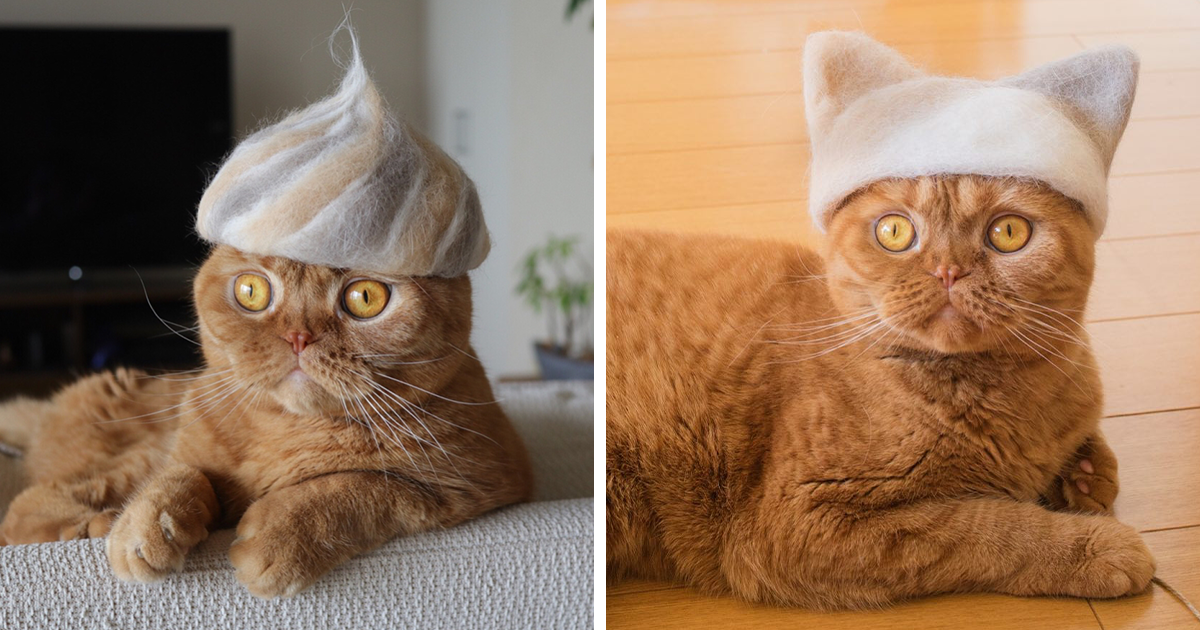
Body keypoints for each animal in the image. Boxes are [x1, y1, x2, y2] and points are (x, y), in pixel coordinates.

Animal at [0, 243, 535, 597]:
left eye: (365, 297)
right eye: (252, 291)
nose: (298, 336)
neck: (287, 431)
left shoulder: (470, 485)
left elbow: (360, 486)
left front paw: (280, 535)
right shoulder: (177, 451)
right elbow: (184, 474)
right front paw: (148, 524)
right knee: (29, 505)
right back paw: (95, 524)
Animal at [604, 31, 1147, 607]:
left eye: (1008, 233)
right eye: (894, 231)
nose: (947, 270)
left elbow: (1095, 460)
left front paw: (1085, 475)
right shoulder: (806, 520)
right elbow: (993, 528)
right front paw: (1098, 545)